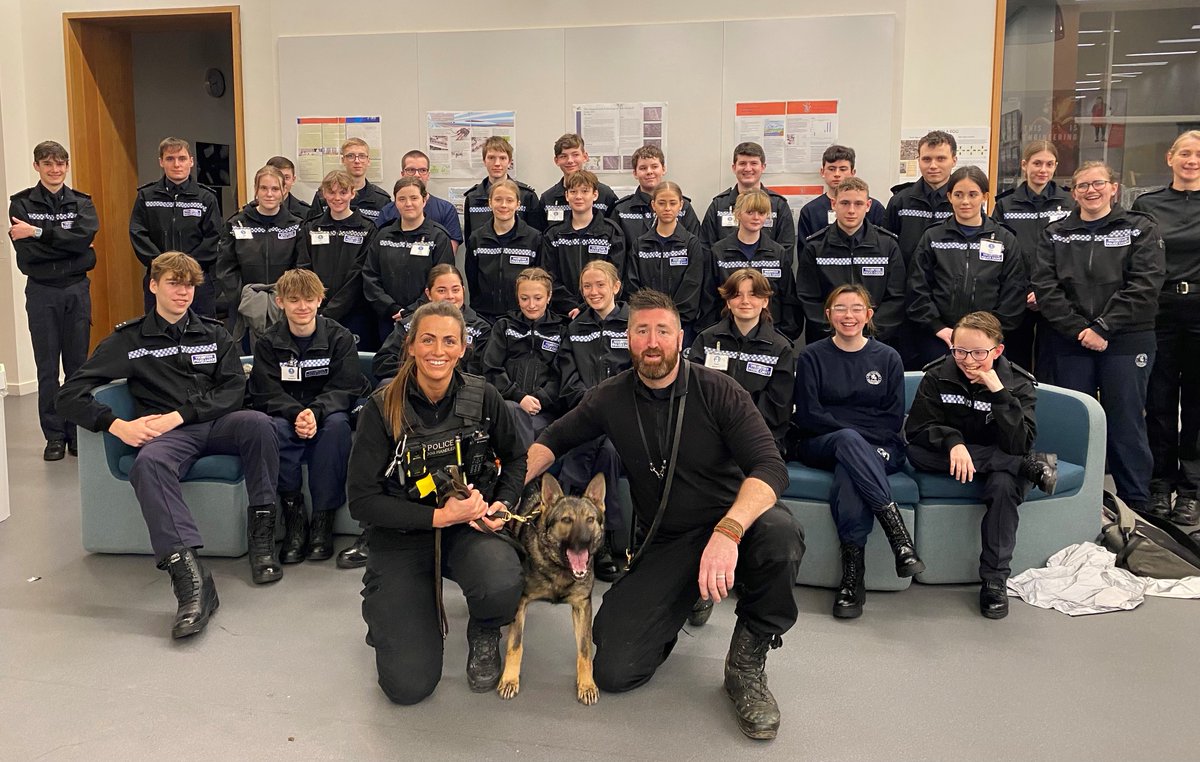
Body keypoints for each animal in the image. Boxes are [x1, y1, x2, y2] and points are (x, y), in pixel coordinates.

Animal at [496, 475, 604, 705]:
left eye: (590, 520)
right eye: (567, 520)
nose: (584, 542)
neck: (560, 568)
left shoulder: (582, 607)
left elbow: (584, 650)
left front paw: (587, 684)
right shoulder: (521, 601)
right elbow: (515, 645)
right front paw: (509, 679)